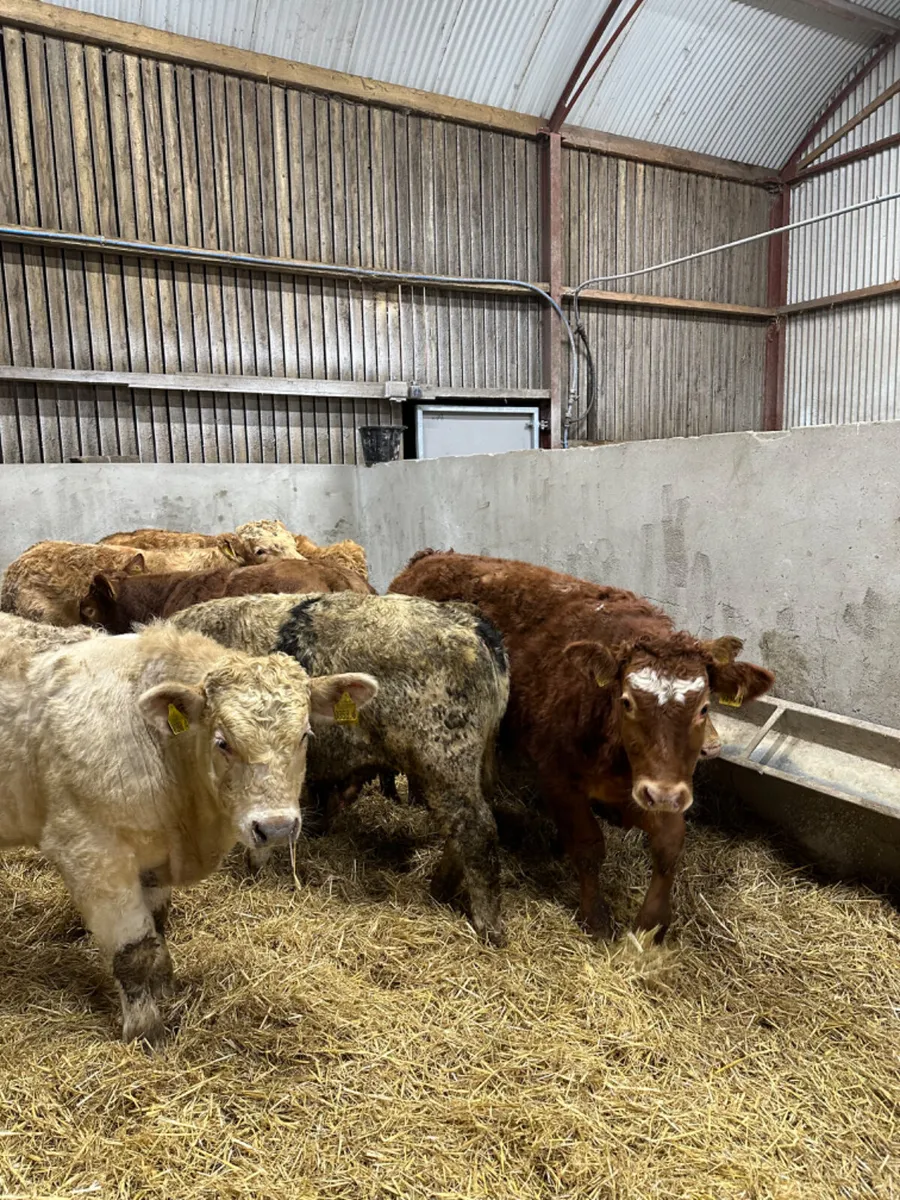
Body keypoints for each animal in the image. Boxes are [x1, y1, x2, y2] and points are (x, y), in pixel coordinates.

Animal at [0, 623, 377, 1043]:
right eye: (222, 742)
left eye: (305, 735)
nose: (276, 827)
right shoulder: (91, 853)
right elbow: (133, 954)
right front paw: (147, 1031)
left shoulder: (153, 856)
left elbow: (158, 930)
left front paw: (167, 990)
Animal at [389, 551, 774, 941]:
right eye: (627, 701)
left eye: (704, 707)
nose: (662, 795)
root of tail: (431, 557)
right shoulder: (559, 779)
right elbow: (588, 847)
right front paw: (596, 918)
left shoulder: (660, 784)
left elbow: (669, 845)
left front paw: (650, 925)